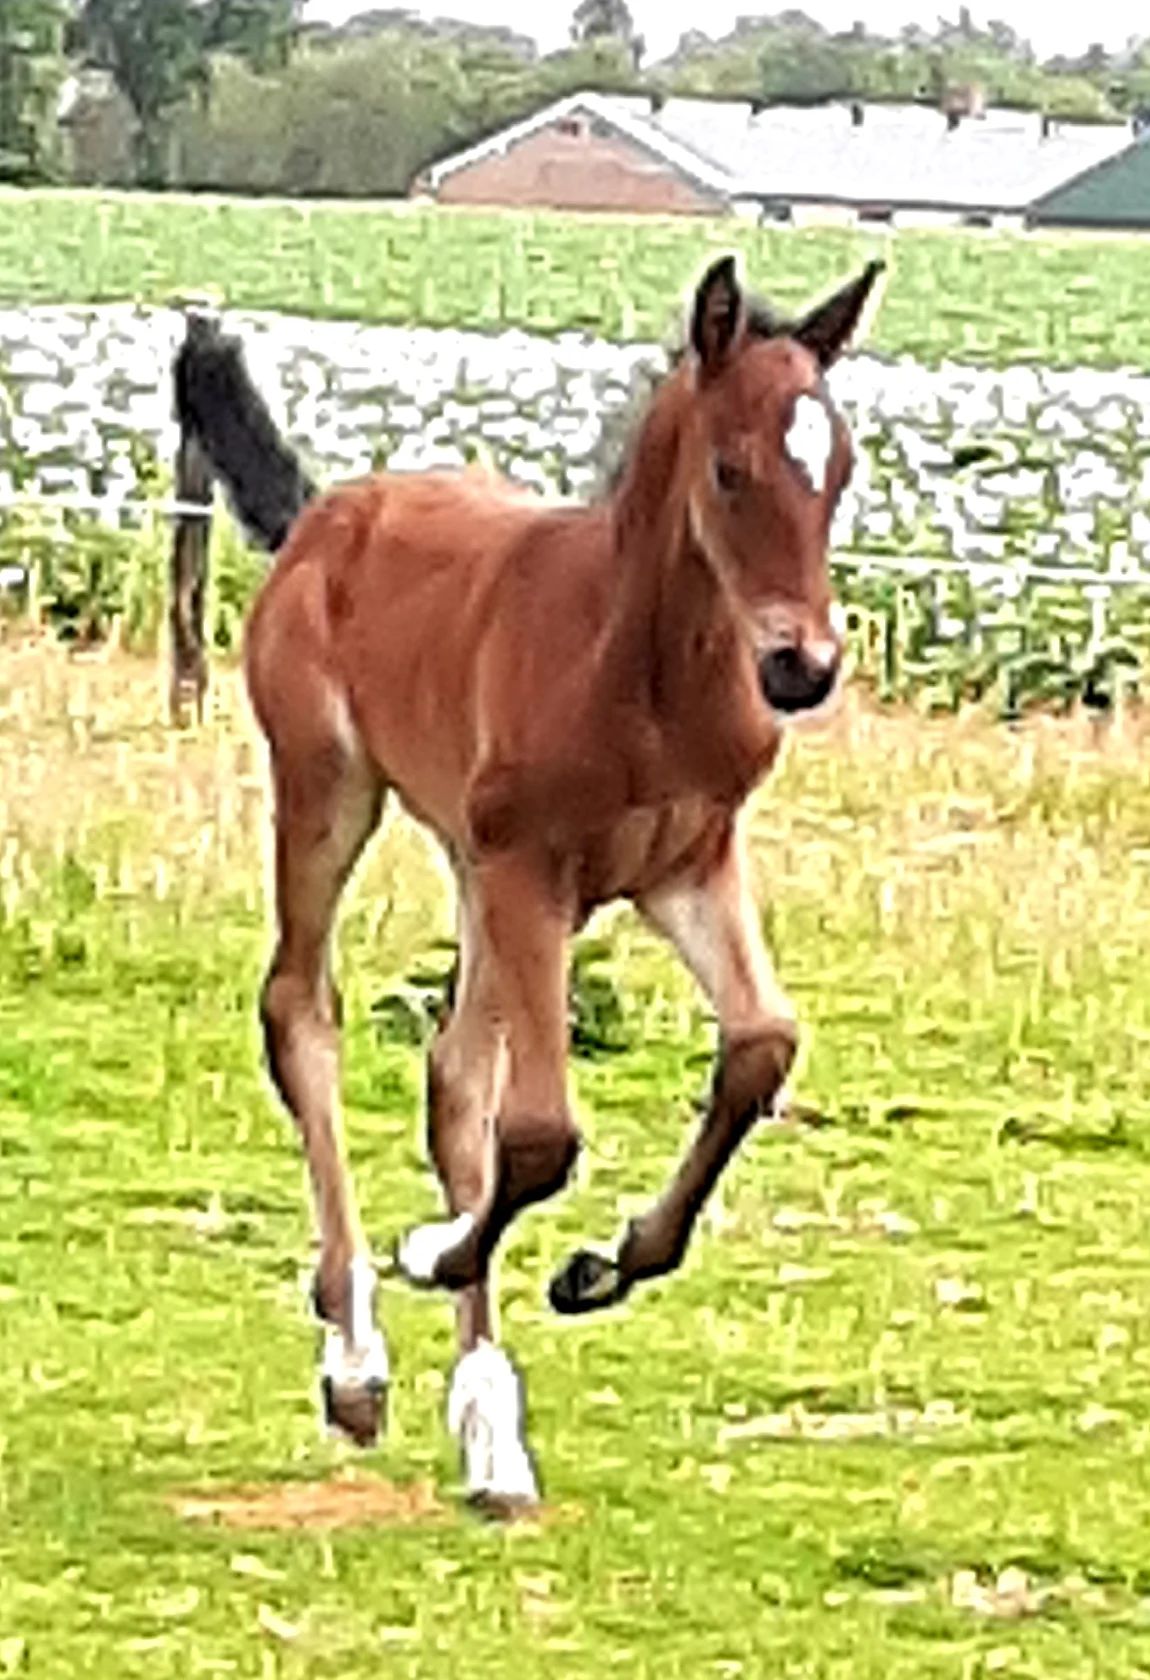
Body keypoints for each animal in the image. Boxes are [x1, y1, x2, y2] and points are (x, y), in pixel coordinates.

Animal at [176, 252, 883, 1512]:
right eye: (729, 469)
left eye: (838, 468)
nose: (802, 667)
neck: (639, 669)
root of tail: (325, 511)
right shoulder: (531, 871)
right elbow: (543, 1133)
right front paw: (433, 1249)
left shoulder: (687, 866)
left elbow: (760, 1047)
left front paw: (599, 1267)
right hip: (329, 791)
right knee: (301, 1011)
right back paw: (356, 1356)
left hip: (470, 864)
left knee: (453, 1071)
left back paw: (488, 1430)